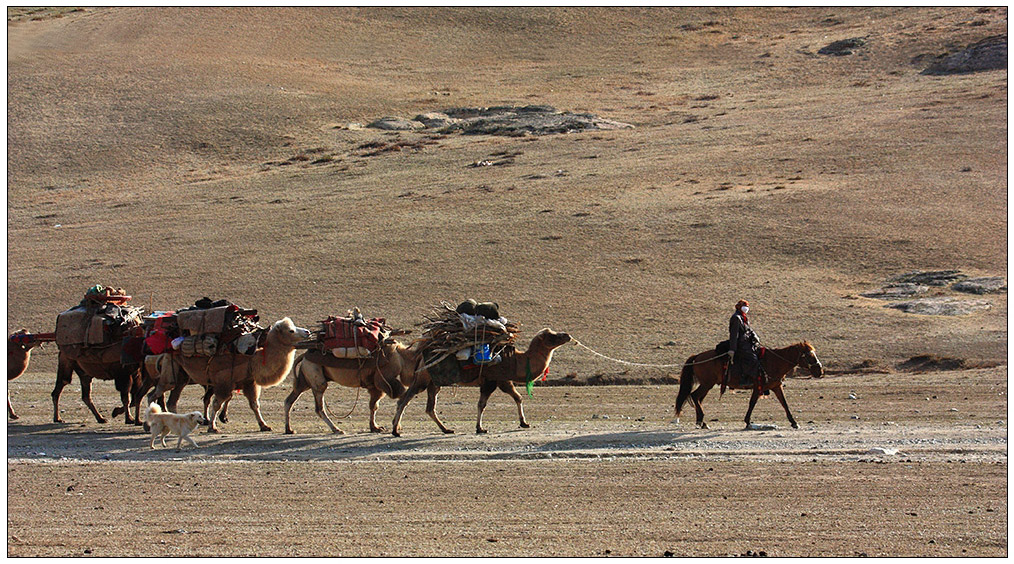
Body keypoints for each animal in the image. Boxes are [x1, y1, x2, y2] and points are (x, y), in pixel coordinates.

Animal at [168, 318, 308, 434]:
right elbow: (217, 403)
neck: (253, 359)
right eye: (291, 330)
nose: (307, 331)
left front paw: (264, 426)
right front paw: (213, 427)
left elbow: (254, 404)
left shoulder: (249, 382)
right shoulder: (223, 382)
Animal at [281, 338, 411, 436]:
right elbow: (400, 397)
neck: (401, 358)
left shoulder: (375, 387)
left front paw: (375, 427)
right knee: (319, 406)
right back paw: (337, 429)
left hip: (305, 379)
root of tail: (303, 355)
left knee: (289, 400)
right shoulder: (383, 380)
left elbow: (373, 406)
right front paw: (395, 426)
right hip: (314, 373)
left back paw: (289, 429)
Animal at [391, 328, 575, 438]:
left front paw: (524, 423)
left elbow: (518, 398)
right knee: (405, 400)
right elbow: (482, 404)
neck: (517, 360)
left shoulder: (503, 380)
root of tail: (420, 356)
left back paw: (445, 429)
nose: (567, 335)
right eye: (552, 336)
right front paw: (480, 428)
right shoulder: (492, 381)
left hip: (434, 383)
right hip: (424, 378)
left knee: (429, 407)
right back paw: (395, 430)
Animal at [673, 340, 823, 430]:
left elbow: (784, 403)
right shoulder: (758, 386)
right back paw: (702, 421)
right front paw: (747, 422)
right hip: (707, 384)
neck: (774, 361)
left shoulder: (776, 386)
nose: (820, 371)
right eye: (809, 355)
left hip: (706, 385)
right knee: (694, 396)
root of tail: (697, 356)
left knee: (697, 398)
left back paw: (701, 422)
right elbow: (752, 403)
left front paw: (794, 422)